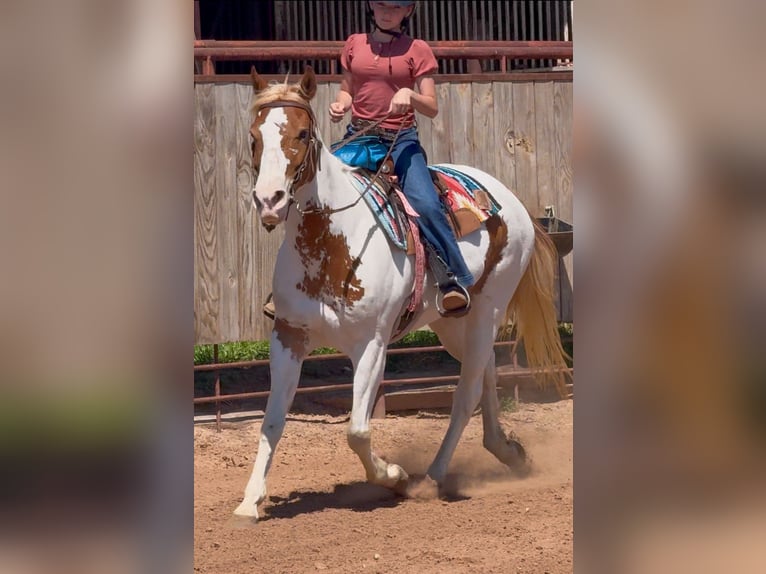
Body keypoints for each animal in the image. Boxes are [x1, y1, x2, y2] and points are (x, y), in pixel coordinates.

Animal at [234, 66, 568, 519]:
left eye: (302, 133)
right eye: (255, 135)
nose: (269, 200)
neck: (332, 243)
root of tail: (510, 200)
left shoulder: (372, 344)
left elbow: (357, 430)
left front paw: (393, 476)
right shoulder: (288, 335)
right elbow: (271, 421)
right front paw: (250, 501)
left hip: (490, 308)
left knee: (465, 393)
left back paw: (431, 478)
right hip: (453, 324)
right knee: (484, 374)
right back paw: (505, 449)